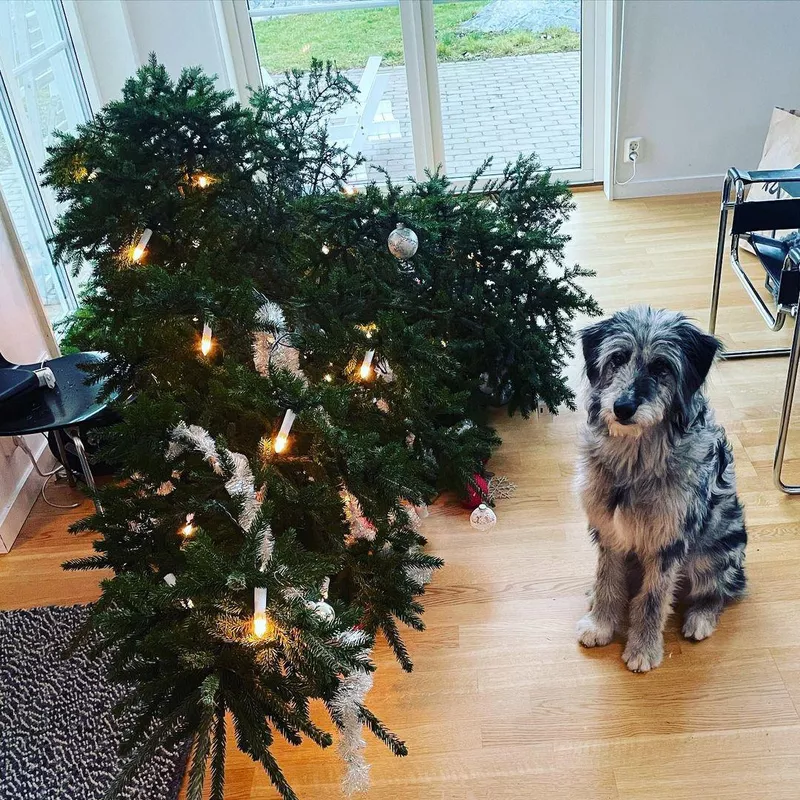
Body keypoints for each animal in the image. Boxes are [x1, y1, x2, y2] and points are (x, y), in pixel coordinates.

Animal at [580, 310, 748, 672]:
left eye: (661, 367)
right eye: (617, 358)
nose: (622, 407)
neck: (635, 460)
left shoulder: (667, 545)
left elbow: (652, 600)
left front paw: (643, 650)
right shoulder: (609, 533)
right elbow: (607, 580)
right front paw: (601, 624)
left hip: (710, 555)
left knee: (719, 591)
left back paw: (700, 618)